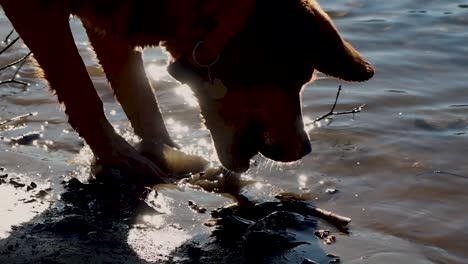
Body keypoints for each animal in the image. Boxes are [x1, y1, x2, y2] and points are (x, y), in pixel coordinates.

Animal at [0, 0, 372, 182]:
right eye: (298, 79)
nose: (306, 150)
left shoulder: (111, 22)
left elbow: (139, 94)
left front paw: (166, 149)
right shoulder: (35, 9)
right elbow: (81, 90)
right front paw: (119, 157)